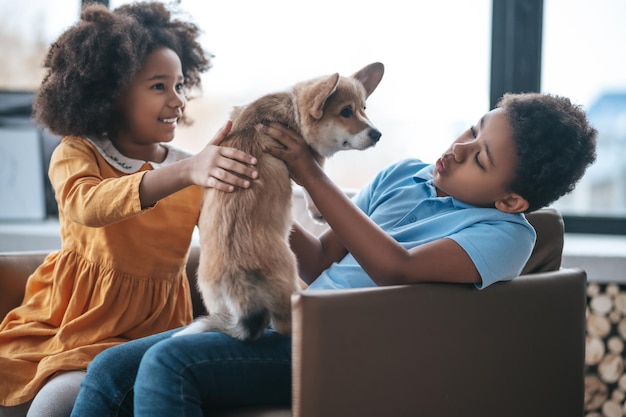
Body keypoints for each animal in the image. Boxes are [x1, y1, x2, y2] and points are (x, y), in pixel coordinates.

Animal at [173, 62, 382, 342]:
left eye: (363, 109)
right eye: (346, 112)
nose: (378, 134)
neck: (290, 108)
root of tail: (239, 285)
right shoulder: (312, 159)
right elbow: (314, 179)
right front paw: (317, 212)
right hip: (289, 283)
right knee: (284, 326)